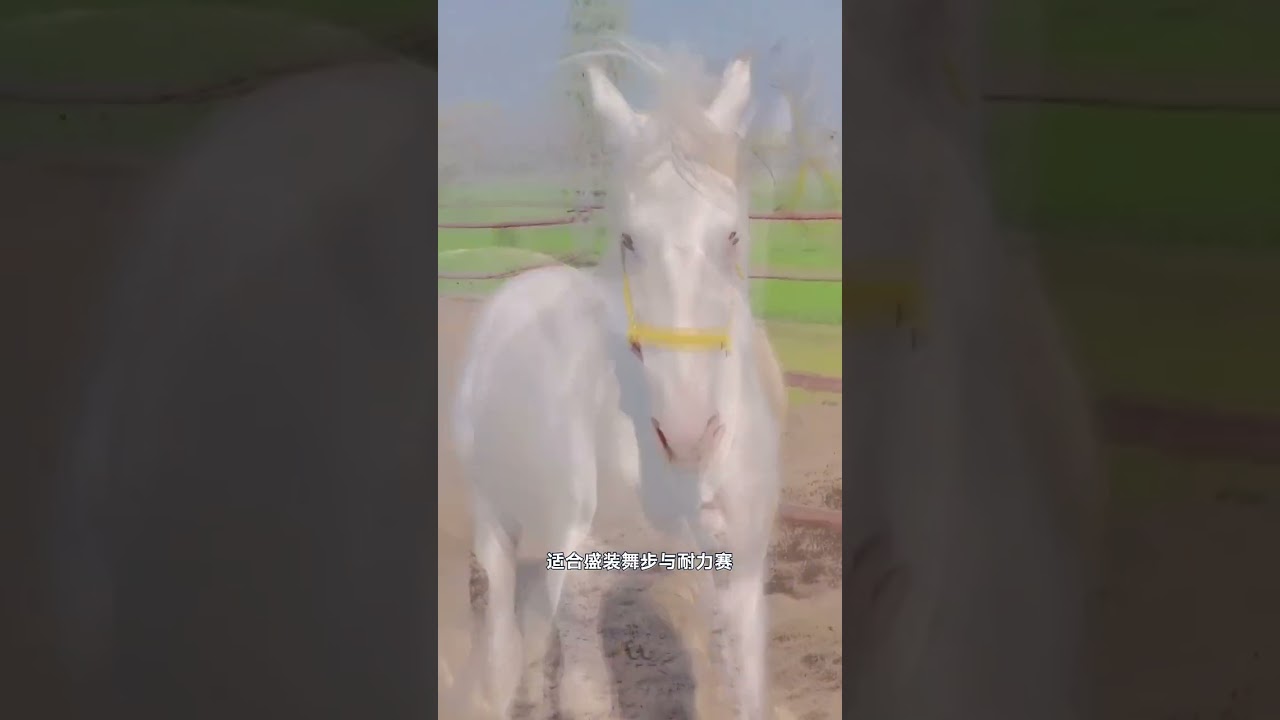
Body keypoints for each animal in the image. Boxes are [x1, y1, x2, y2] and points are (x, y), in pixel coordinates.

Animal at [450, 44, 785, 719]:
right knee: (504, 641)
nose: (687, 435)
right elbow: (582, 694)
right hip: (496, 528)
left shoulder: (739, 580)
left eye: (732, 234)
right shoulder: (583, 582)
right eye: (629, 238)